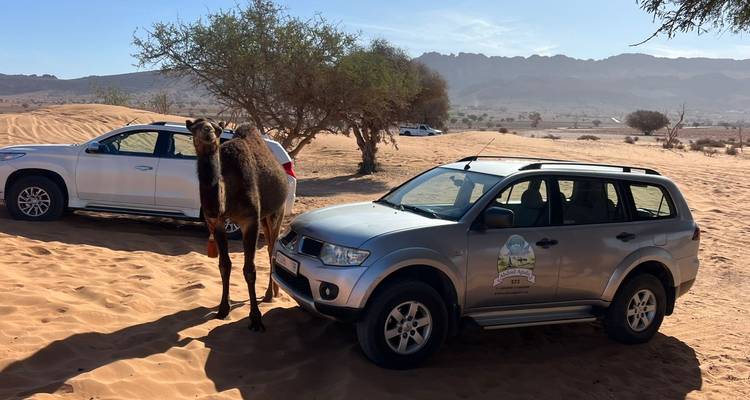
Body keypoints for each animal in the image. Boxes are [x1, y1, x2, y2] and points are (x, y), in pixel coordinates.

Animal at [187, 118, 288, 332]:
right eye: (194, 127)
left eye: (217, 129)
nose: (208, 132)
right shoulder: (215, 221)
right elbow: (224, 265)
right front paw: (223, 309)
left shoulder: (250, 220)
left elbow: (250, 270)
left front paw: (256, 319)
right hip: (264, 218)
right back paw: (273, 293)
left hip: (277, 212)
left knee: (271, 250)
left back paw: (270, 295)